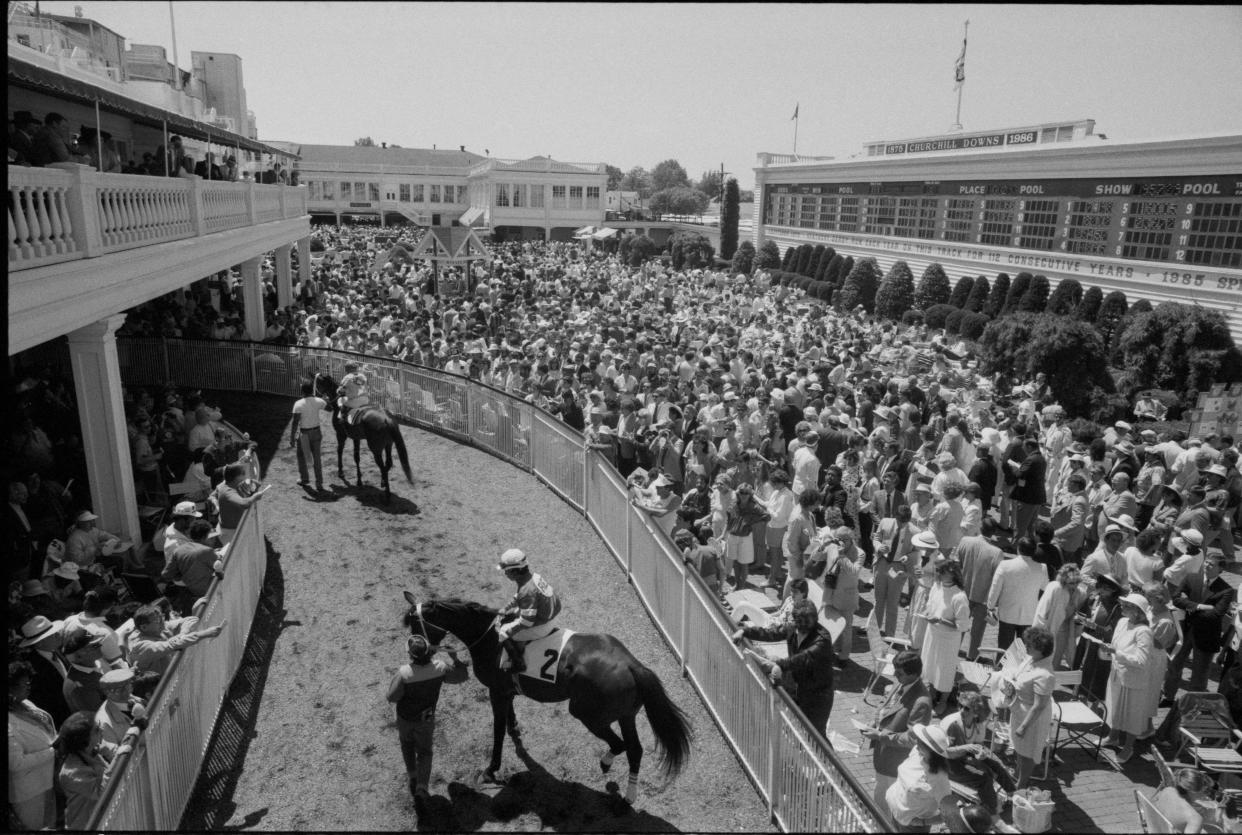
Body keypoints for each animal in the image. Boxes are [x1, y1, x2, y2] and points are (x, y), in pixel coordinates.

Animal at [310, 372, 412, 501]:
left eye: (318, 382)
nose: (315, 396)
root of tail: (387, 419)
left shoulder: (341, 435)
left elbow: (340, 451)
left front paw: (341, 472)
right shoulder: (356, 438)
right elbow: (356, 457)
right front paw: (359, 480)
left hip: (375, 448)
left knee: (383, 466)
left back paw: (387, 495)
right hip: (388, 445)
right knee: (388, 464)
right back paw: (383, 482)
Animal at [404, 593, 690, 800]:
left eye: (416, 623)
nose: (416, 648)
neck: (490, 639)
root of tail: (632, 665)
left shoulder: (496, 692)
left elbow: (497, 731)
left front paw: (491, 769)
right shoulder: (505, 691)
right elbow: (509, 719)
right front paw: (515, 730)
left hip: (587, 713)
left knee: (620, 745)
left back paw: (608, 765)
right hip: (626, 715)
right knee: (634, 749)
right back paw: (628, 794)